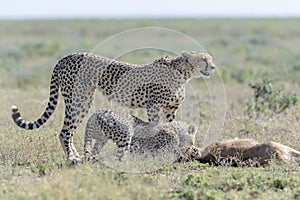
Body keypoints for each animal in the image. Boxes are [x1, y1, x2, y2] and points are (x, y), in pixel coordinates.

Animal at [9, 50, 216, 162]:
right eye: (204, 59)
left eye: (210, 59)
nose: (213, 67)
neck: (183, 73)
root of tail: (66, 57)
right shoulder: (153, 106)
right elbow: (154, 126)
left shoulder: (170, 108)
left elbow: (172, 127)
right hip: (78, 99)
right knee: (65, 131)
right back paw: (72, 158)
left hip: (84, 101)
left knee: (69, 131)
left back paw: (77, 156)